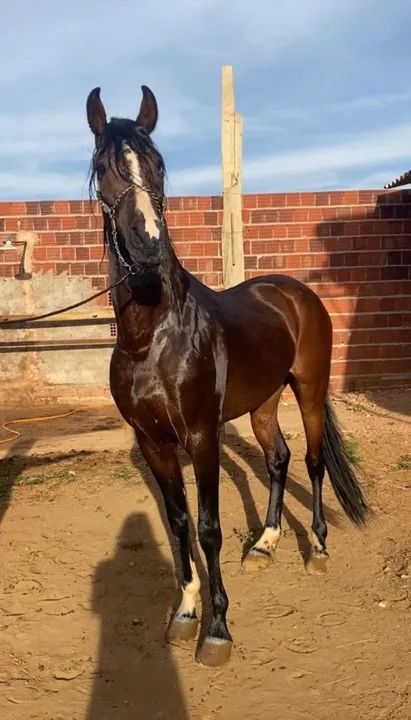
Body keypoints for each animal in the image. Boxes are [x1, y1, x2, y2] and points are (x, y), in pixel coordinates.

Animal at [86, 85, 369, 667]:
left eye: (158, 165)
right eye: (103, 167)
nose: (149, 245)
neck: (153, 337)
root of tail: (295, 293)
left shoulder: (201, 437)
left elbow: (209, 528)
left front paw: (217, 629)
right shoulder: (152, 441)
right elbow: (177, 524)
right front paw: (185, 612)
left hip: (308, 391)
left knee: (312, 461)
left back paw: (318, 548)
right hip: (262, 403)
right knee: (278, 458)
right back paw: (264, 544)